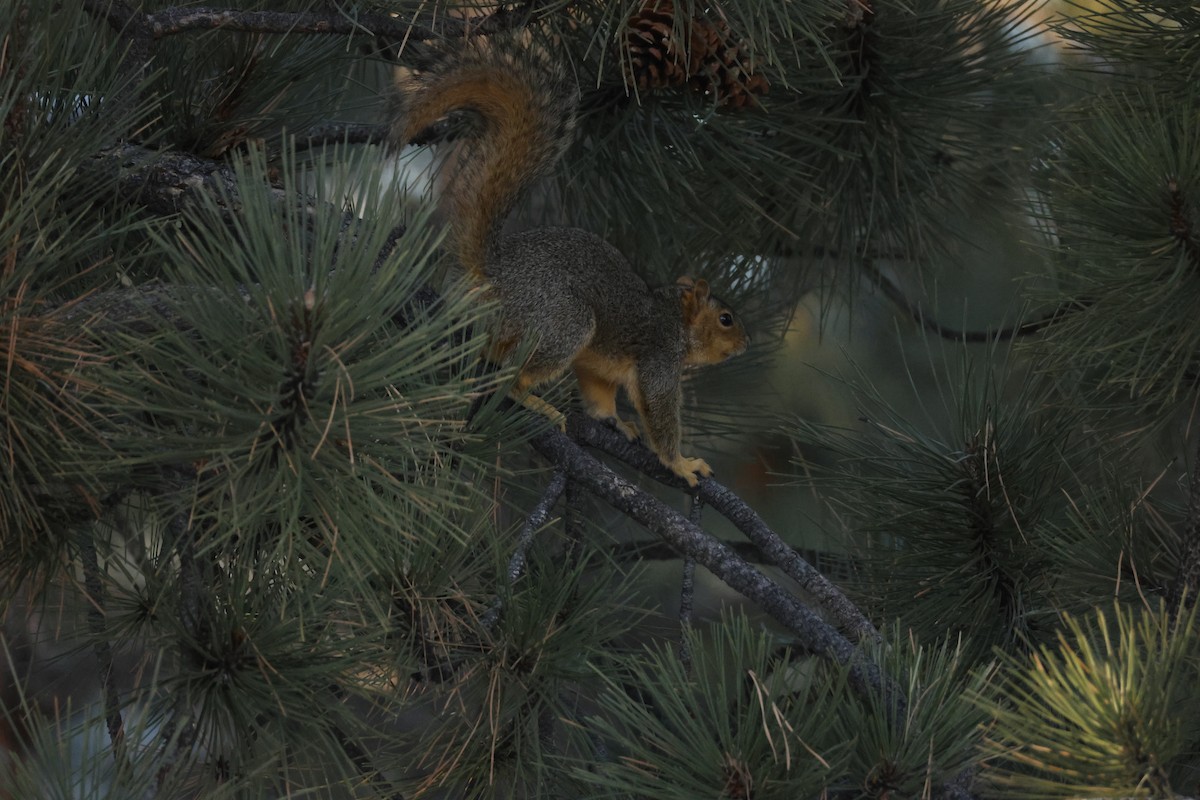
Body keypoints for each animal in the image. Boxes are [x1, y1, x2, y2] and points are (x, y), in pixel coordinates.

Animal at [389, 43, 749, 486]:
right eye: (726, 320)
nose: (747, 344)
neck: (676, 319)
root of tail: (496, 272)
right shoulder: (659, 360)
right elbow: (660, 417)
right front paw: (682, 463)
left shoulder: (601, 369)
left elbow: (599, 398)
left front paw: (616, 422)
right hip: (563, 320)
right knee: (514, 375)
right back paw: (536, 402)